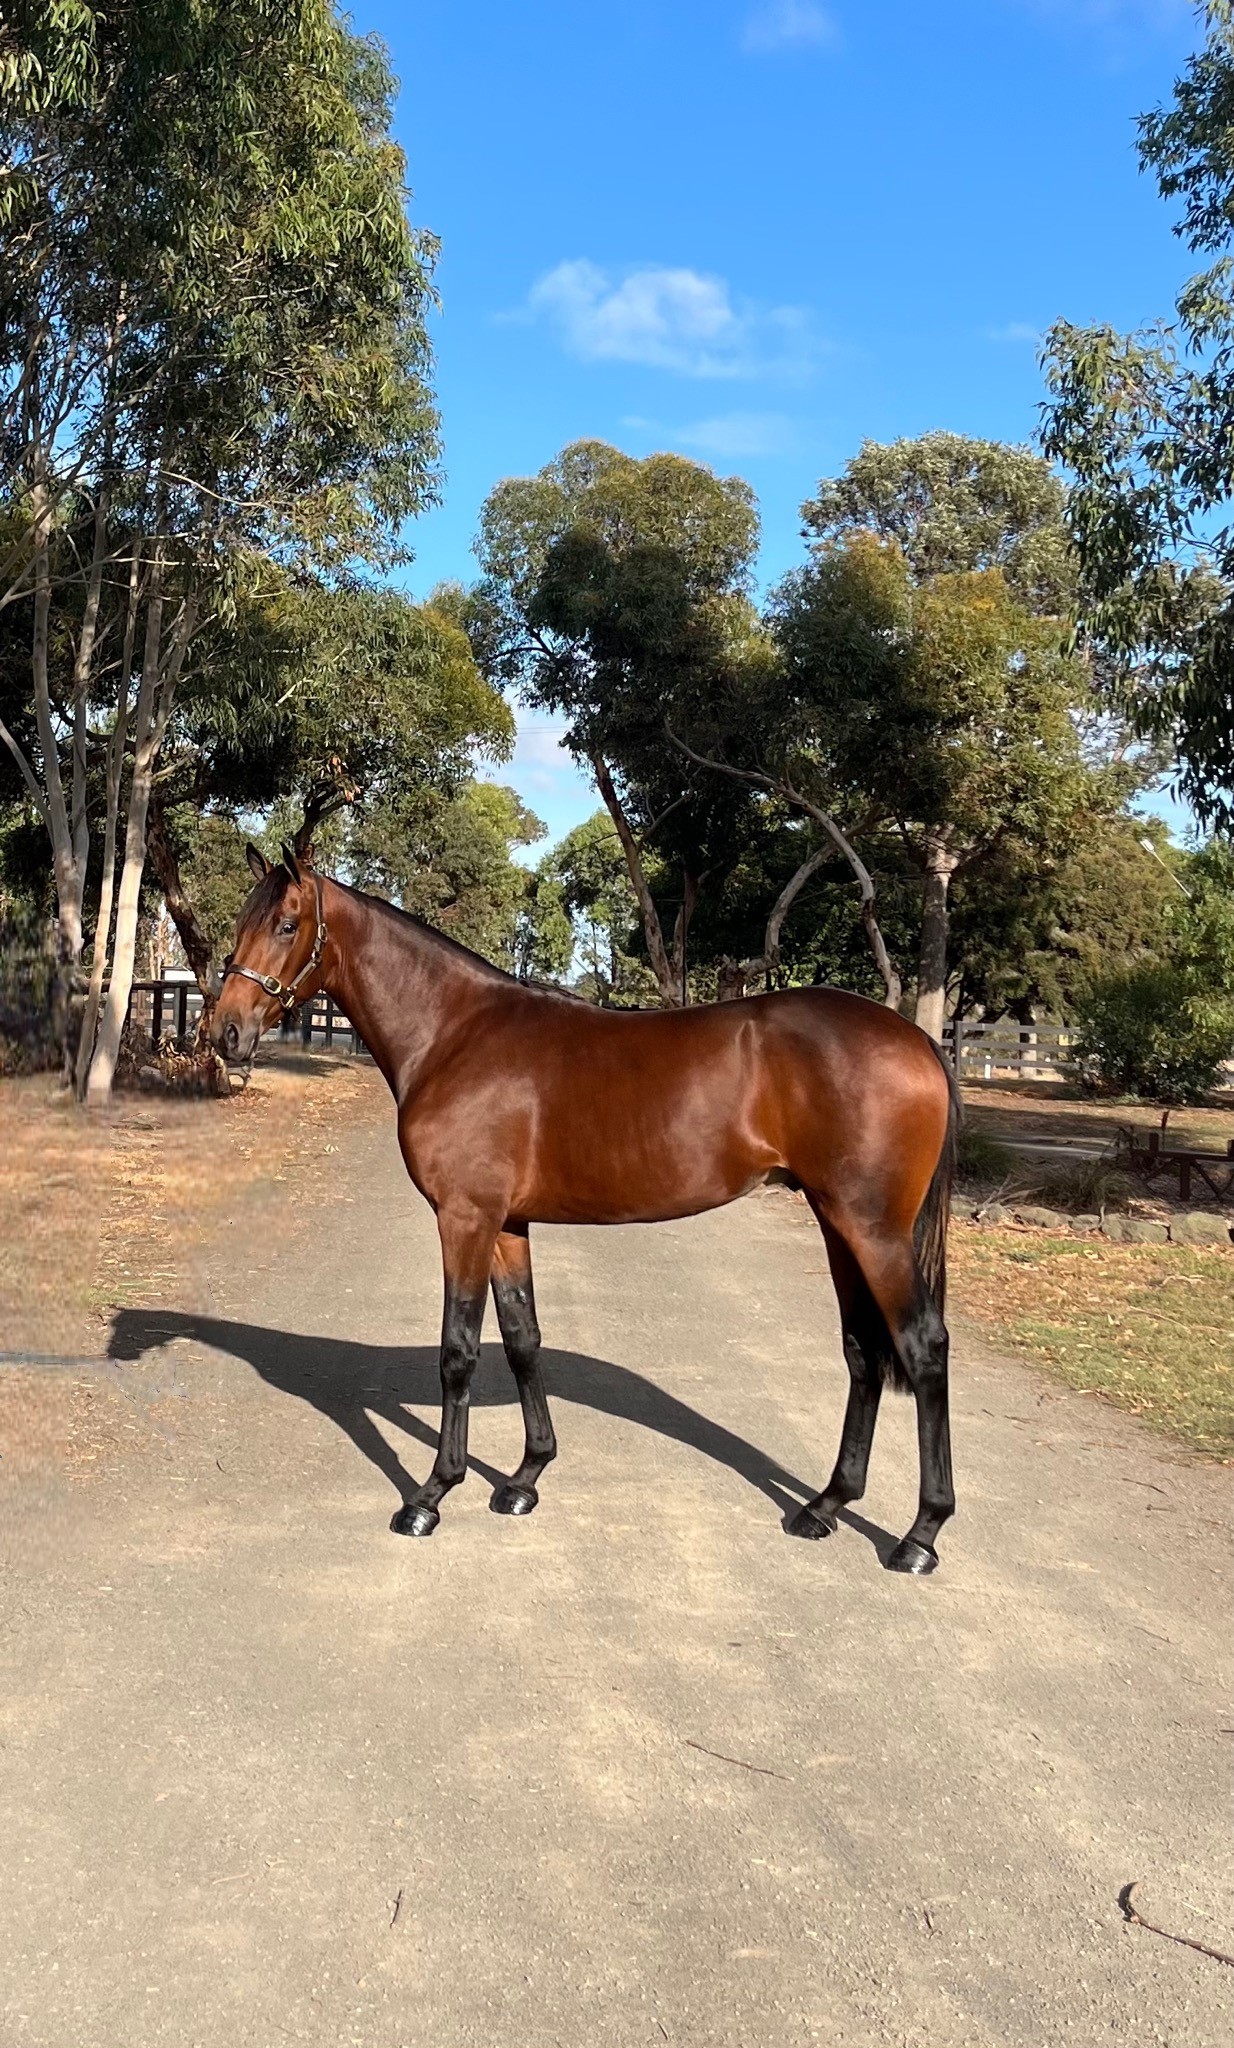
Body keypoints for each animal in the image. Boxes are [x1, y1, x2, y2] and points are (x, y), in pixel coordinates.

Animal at [210, 843, 960, 1574]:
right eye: (244, 921)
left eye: (286, 925)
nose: (226, 1032)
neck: (453, 1033)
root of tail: (918, 1039)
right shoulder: (507, 1224)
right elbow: (522, 1340)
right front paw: (524, 1478)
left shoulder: (464, 1218)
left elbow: (458, 1350)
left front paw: (431, 1496)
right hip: (838, 1225)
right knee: (863, 1351)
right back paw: (825, 1506)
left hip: (874, 1231)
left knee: (922, 1348)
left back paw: (920, 1537)